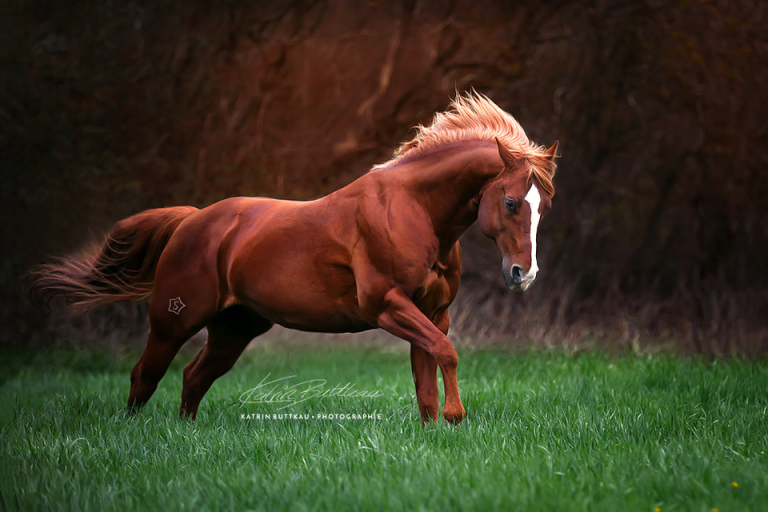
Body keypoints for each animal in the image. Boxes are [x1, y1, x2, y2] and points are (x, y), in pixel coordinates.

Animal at [34, 92, 558, 425]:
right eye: (511, 202)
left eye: (543, 207)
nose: (524, 273)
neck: (413, 211)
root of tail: (192, 221)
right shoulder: (387, 306)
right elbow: (446, 354)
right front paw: (456, 416)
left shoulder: (433, 314)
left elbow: (426, 376)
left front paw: (438, 425)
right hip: (172, 321)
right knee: (146, 375)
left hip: (235, 327)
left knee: (194, 376)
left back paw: (187, 434)